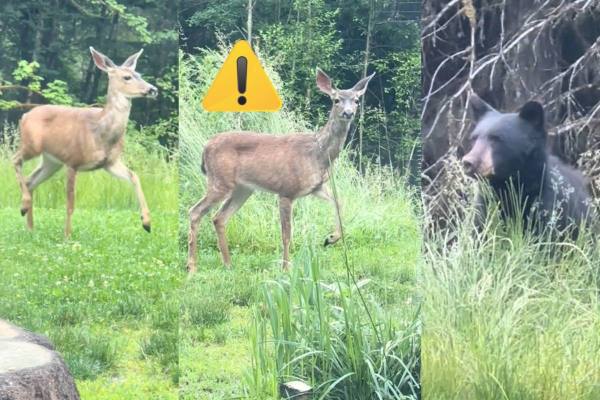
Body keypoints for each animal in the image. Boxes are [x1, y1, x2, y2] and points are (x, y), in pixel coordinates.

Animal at [12, 47, 158, 236]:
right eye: (127, 77)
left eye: (139, 74)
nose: (153, 89)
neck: (102, 135)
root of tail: (24, 116)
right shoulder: (73, 161)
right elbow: (70, 203)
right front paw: (67, 236)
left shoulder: (109, 162)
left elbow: (134, 176)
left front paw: (146, 222)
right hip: (32, 145)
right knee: (15, 160)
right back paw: (24, 207)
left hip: (51, 161)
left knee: (31, 180)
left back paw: (30, 227)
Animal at [188, 69, 376, 276]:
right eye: (336, 100)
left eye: (357, 100)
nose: (348, 113)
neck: (318, 154)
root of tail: (205, 148)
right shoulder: (287, 190)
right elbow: (286, 233)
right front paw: (286, 268)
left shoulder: (317, 186)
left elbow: (339, 202)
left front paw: (331, 238)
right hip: (220, 181)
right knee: (195, 211)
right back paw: (192, 267)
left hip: (243, 188)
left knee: (219, 218)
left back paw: (228, 264)